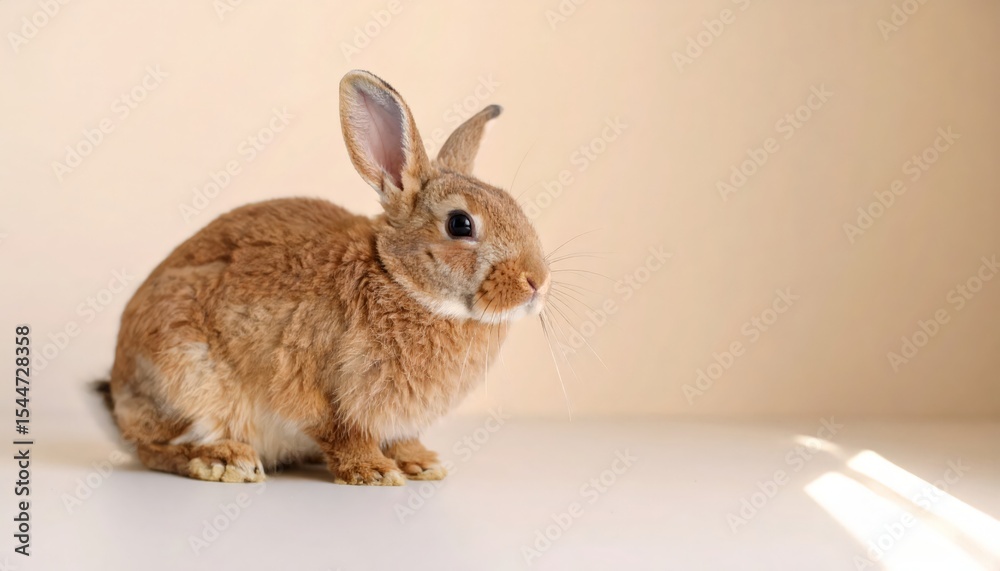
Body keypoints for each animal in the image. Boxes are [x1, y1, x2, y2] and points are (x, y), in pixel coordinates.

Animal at [104, 70, 550, 485]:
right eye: (460, 224)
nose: (538, 282)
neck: (399, 279)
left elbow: (401, 439)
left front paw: (422, 464)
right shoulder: (313, 384)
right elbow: (341, 432)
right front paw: (373, 472)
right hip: (184, 374)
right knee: (151, 447)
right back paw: (224, 459)